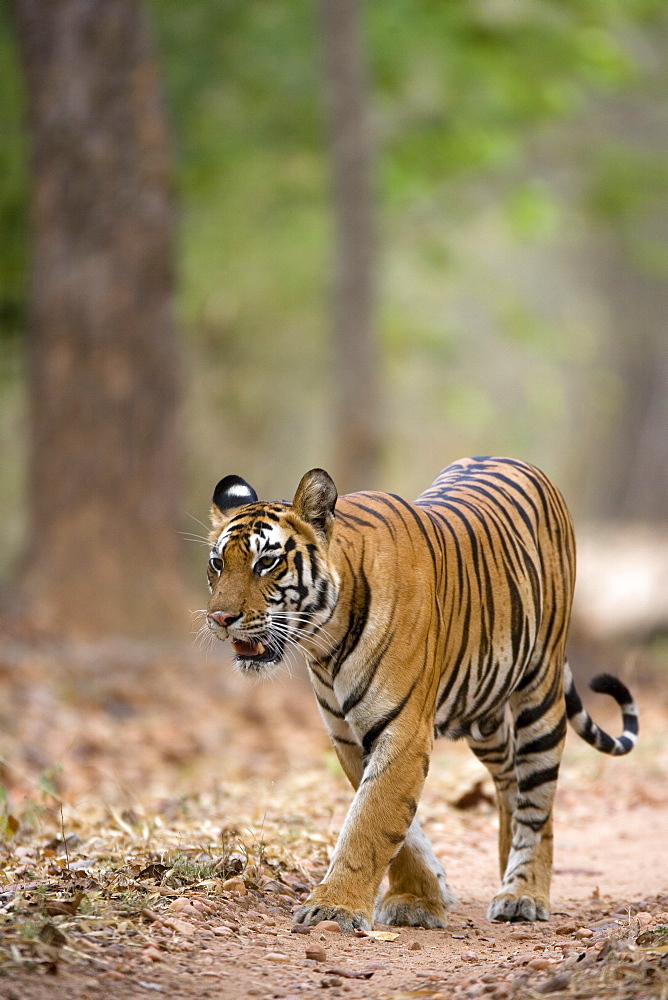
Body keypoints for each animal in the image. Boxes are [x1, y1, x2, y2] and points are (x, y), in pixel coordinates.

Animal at [206, 458, 640, 932]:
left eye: (267, 562)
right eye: (217, 564)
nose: (219, 618)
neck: (325, 641)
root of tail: (524, 465)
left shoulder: (403, 732)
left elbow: (370, 820)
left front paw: (335, 907)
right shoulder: (349, 736)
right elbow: (397, 825)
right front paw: (419, 897)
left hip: (539, 692)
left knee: (537, 799)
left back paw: (523, 893)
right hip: (483, 713)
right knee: (510, 776)